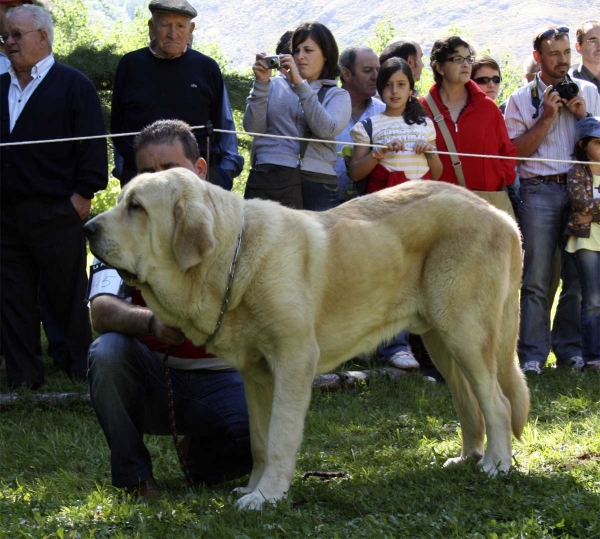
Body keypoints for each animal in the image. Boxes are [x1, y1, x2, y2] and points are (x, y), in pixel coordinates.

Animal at [85, 171, 528, 512]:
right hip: (442, 339)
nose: (87, 227)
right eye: (122, 200)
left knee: (497, 402)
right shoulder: (257, 376)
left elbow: (281, 436)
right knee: (469, 402)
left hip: (464, 332)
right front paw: (254, 487)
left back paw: (495, 466)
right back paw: (468, 457)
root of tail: (501, 216)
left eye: (137, 207)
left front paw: (267, 496)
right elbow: (260, 441)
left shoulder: (293, 360)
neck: (232, 259)